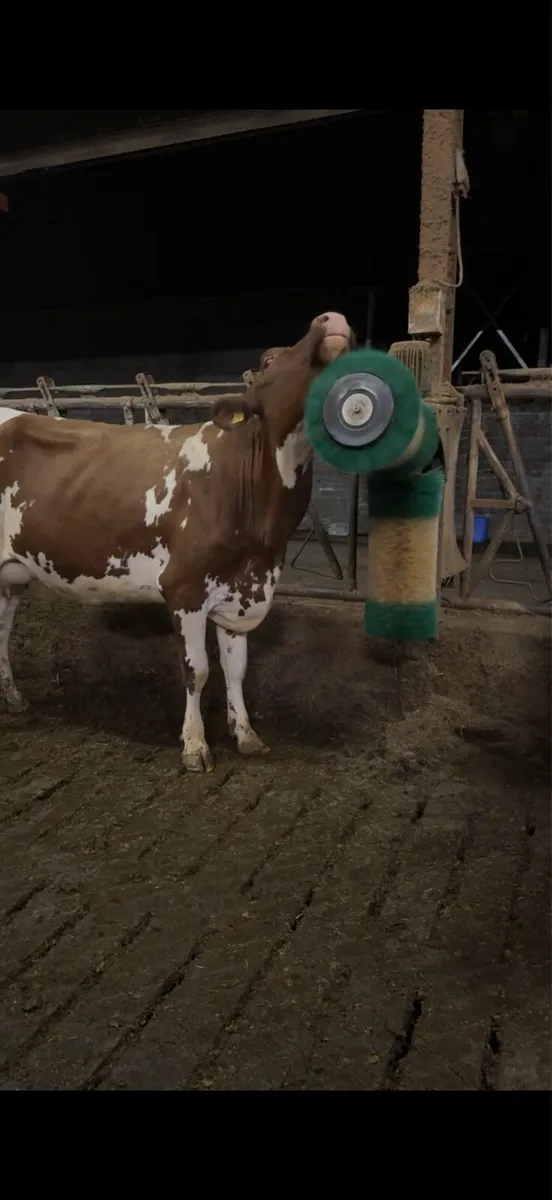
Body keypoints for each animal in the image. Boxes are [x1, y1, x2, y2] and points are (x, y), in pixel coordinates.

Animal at [0, 311, 353, 773]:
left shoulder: (241, 589)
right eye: (269, 360)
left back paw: (12, 698)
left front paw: (246, 735)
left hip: (10, 576)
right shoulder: (184, 589)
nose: (331, 318)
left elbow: (236, 669)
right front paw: (195, 745)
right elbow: (197, 670)